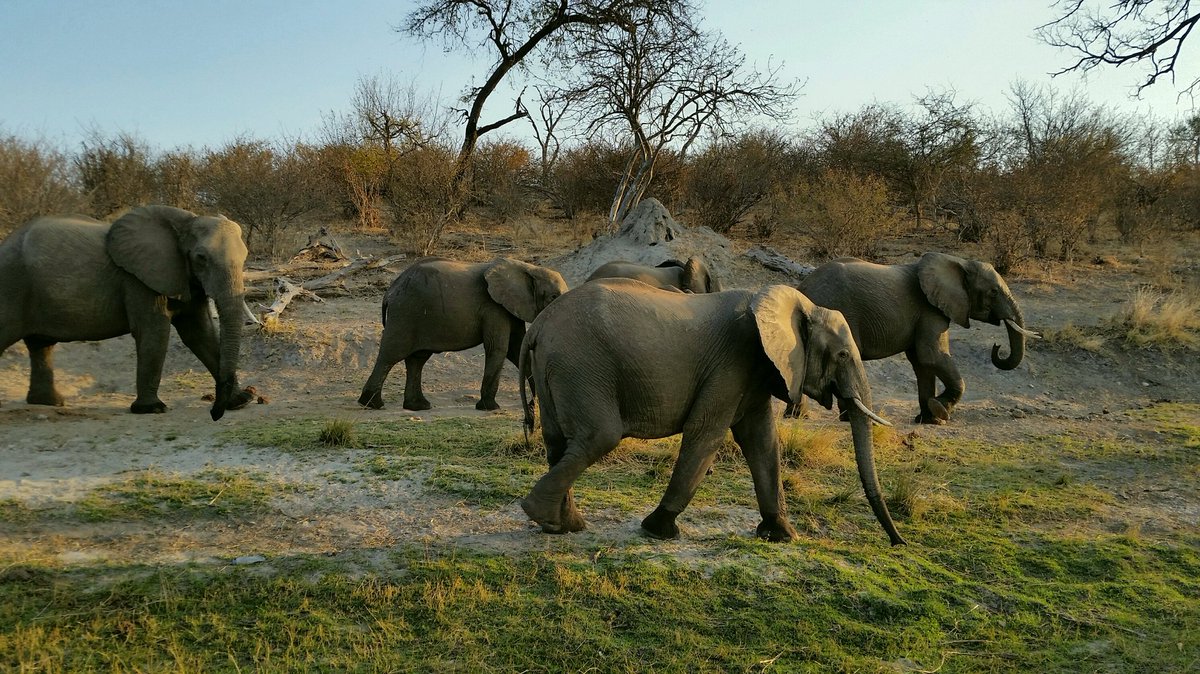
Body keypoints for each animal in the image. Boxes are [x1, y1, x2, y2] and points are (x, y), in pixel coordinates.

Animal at [0, 205, 256, 420]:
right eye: (201, 258)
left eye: (245, 256)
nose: (214, 413)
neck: (185, 220)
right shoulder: (138, 280)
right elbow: (155, 332)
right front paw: (152, 409)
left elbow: (200, 333)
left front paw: (241, 401)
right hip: (12, 284)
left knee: (41, 345)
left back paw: (49, 403)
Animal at [358, 256, 569, 411]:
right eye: (553, 297)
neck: (529, 268)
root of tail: (390, 291)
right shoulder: (493, 307)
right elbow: (499, 349)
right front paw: (489, 408)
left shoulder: (510, 306)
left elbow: (516, 350)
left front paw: (535, 405)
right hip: (405, 312)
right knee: (391, 354)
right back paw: (371, 404)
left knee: (417, 360)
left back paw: (418, 406)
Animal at [518, 278, 906, 545]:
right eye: (842, 355)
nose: (897, 542)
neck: (793, 304)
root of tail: (538, 325)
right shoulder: (733, 361)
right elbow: (707, 433)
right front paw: (658, 531)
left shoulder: (755, 371)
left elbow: (762, 442)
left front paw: (783, 535)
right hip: (580, 364)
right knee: (598, 436)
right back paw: (543, 516)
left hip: (557, 367)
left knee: (559, 442)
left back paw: (562, 525)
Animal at [795, 252, 1039, 424]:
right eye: (993, 292)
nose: (997, 347)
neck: (959, 262)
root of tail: (802, 288)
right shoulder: (929, 309)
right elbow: (931, 355)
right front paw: (940, 410)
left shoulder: (932, 310)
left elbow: (922, 362)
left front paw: (929, 419)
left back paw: (800, 416)